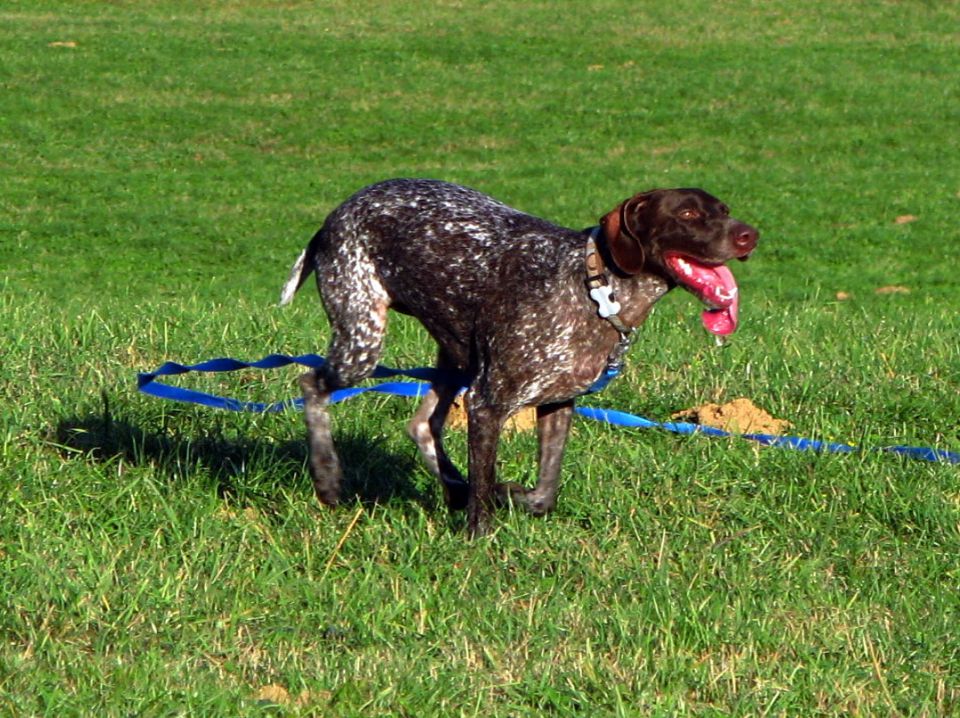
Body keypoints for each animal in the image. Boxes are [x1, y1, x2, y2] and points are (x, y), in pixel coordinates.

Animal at [280, 179, 756, 540]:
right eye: (688, 215)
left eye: (724, 210)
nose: (750, 235)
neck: (594, 287)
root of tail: (336, 214)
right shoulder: (487, 404)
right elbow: (484, 494)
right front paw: (479, 534)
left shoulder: (558, 402)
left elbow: (544, 492)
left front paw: (511, 495)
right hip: (363, 340)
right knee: (311, 384)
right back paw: (327, 475)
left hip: (456, 354)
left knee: (422, 424)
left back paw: (453, 486)